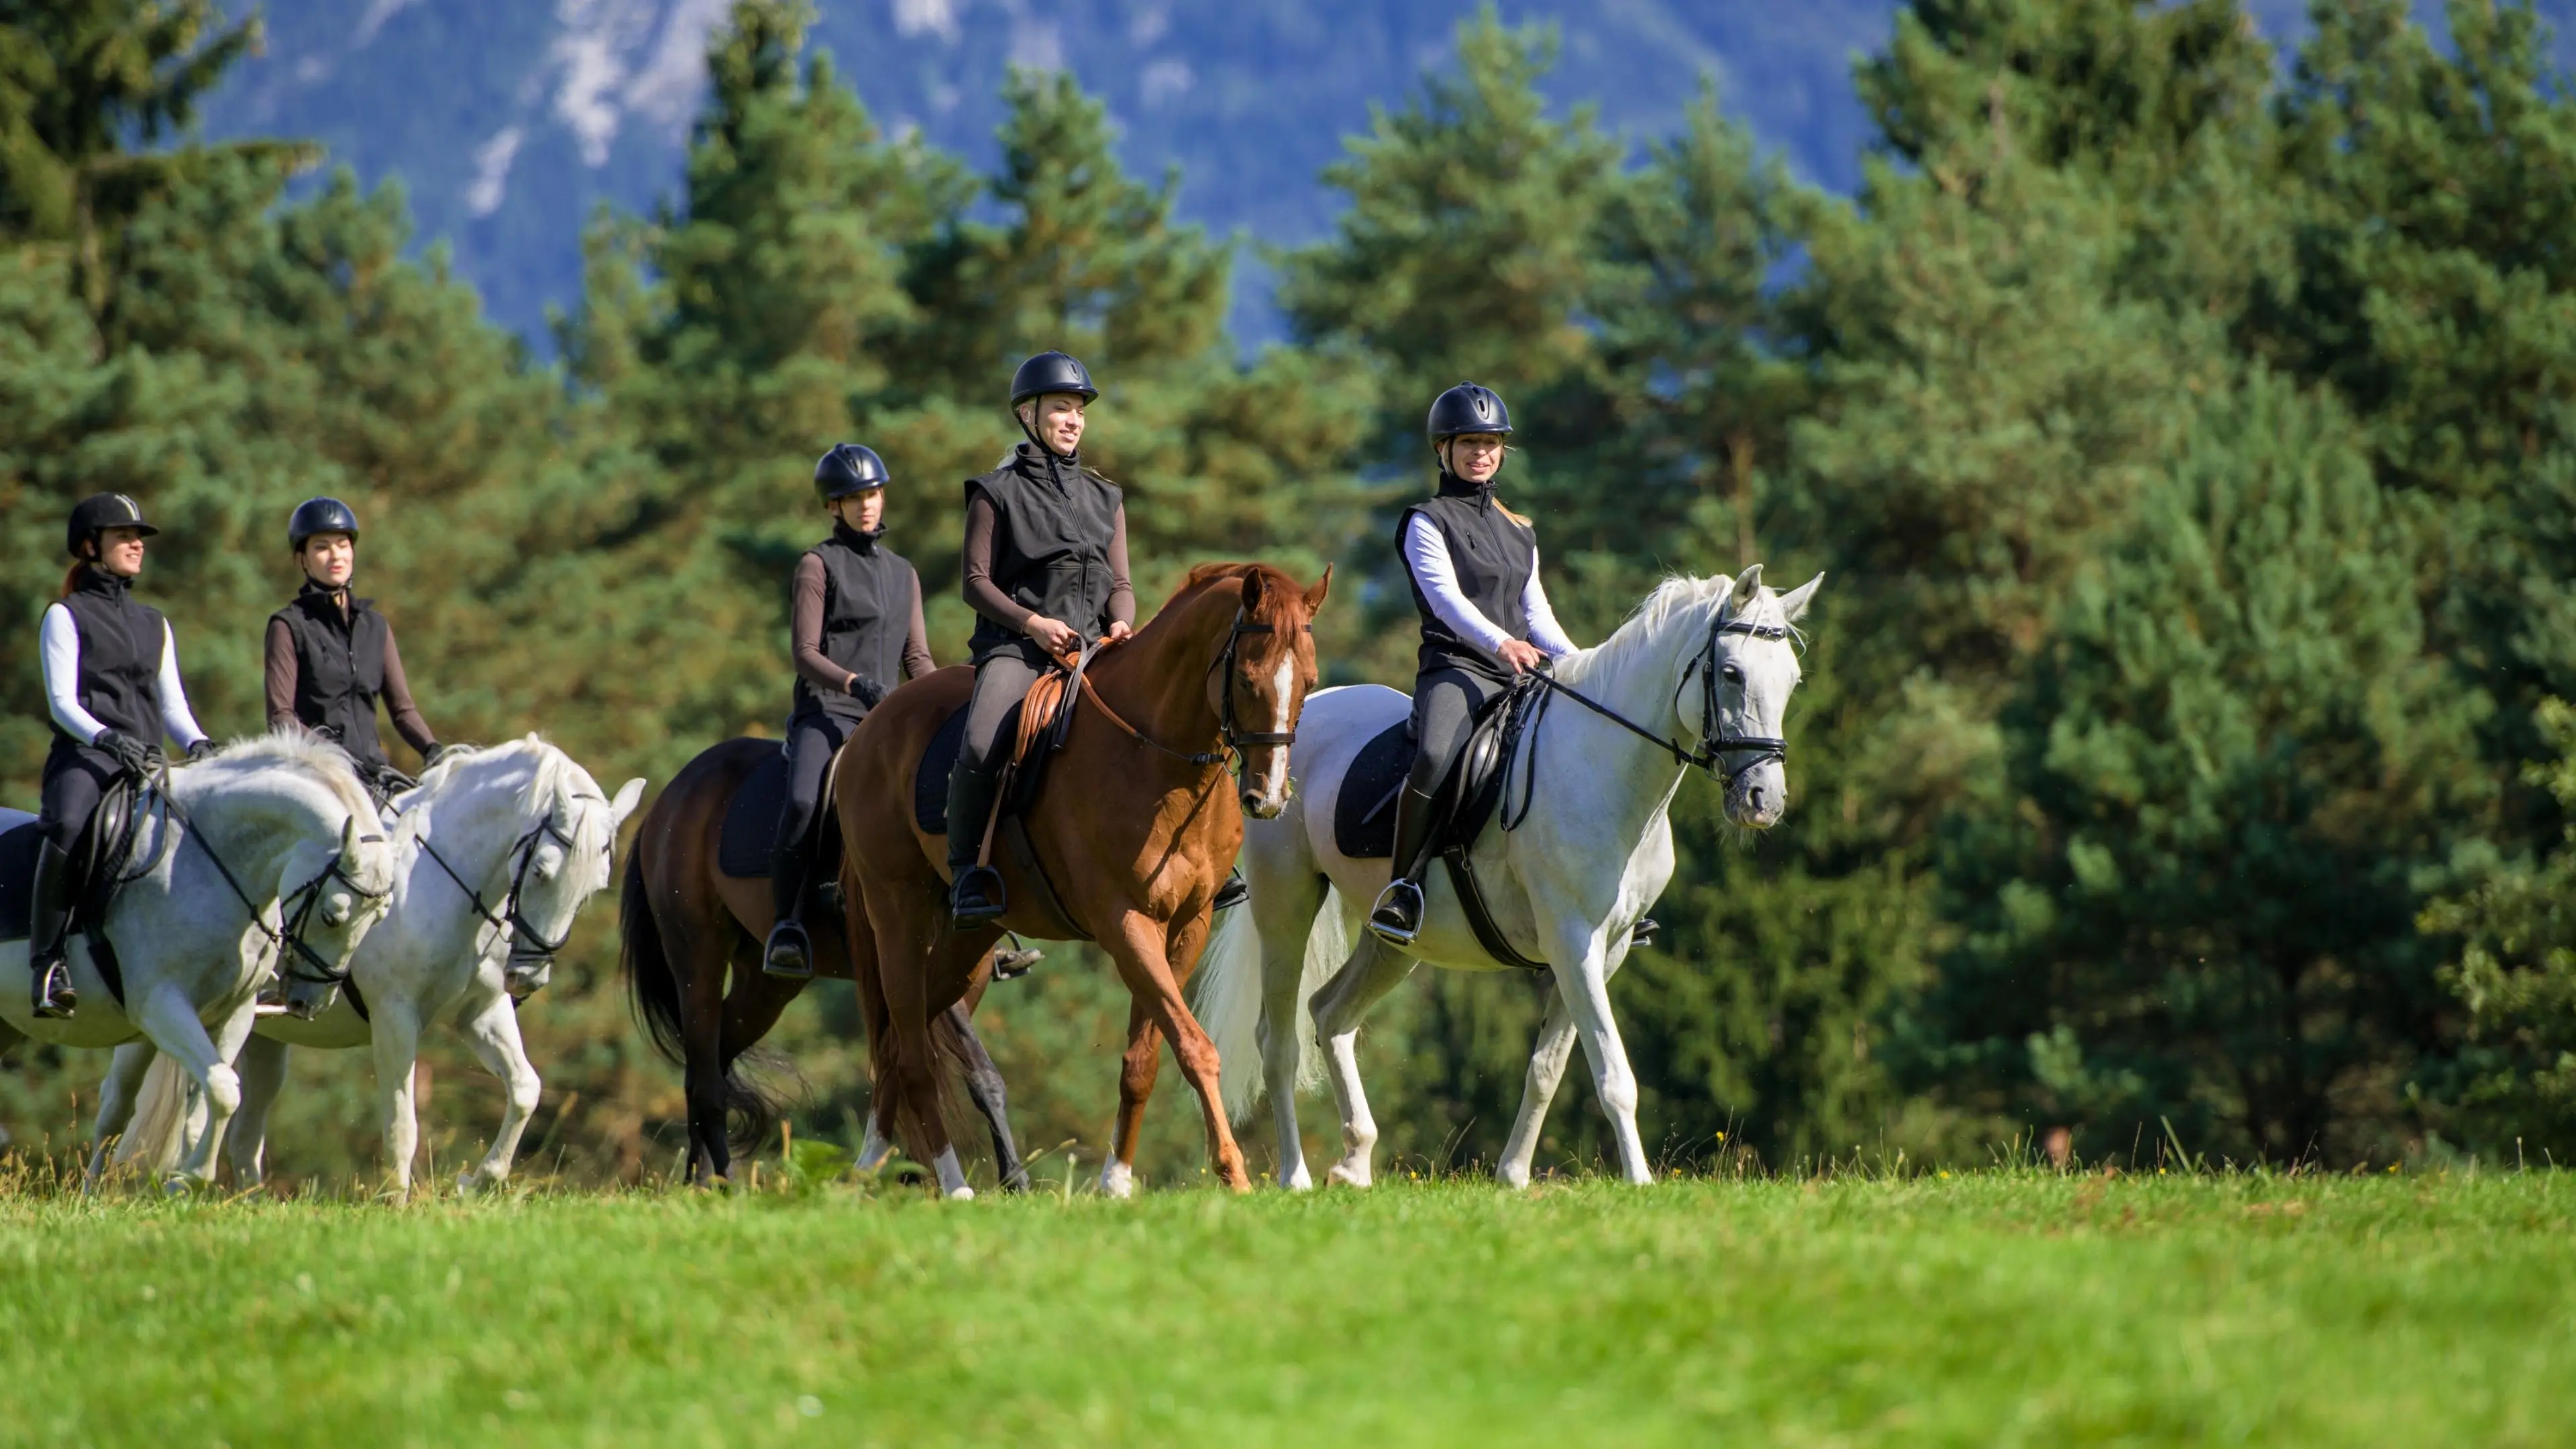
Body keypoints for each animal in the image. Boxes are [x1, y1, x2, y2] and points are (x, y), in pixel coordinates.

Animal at [0, 732, 396, 1185]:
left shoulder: (235, 1012)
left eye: (380, 917)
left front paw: (186, 1180)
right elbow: (222, 1088)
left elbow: (212, 1097)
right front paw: (193, 1176)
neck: (203, 863)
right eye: (333, 915)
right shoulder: (160, 1005)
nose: (308, 1003)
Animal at [113, 737, 644, 1191]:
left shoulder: (481, 1013)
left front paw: (478, 1181)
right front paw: (397, 1202)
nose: (528, 977)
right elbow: (402, 1122)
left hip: (259, 1036)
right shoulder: (395, 1018)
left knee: (243, 1134)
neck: (443, 880)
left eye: (595, 887)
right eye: (541, 872)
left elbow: (526, 1089)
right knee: (126, 1105)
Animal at [621, 732, 1025, 1185]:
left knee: (709, 1063)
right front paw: (1008, 1179)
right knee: (707, 1078)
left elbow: (972, 1073)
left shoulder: (965, 973)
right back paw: (723, 1182)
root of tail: (667, 800)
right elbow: (955, 1066)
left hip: (767, 988)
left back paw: (701, 1179)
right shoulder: (912, 960)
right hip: (697, 958)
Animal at [839, 564, 1329, 1196]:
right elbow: (1195, 1047)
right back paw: (952, 1184)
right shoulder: (1125, 925)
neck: (1153, 755)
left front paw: (1116, 1182)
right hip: (896, 916)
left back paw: (867, 1164)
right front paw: (1233, 1173)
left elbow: (1145, 1057)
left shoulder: (1185, 927)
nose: (1267, 798)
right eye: (1247, 679)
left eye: (1309, 682)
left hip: (969, 944)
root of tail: (868, 733)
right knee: (913, 1054)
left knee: (902, 1042)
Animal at [1195, 564, 1823, 1185]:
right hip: (1285, 908)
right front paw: (1641, 1183)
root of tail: (1293, 726)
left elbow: (1547, 1067)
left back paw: (1354, 1163)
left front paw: (1514, 1176)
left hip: (1396, 943)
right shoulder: (1573, 943)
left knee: (1330, 1014)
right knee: (1279, 1043)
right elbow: (1614, 1076)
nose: (1764, 800)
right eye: (1732, 673)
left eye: (1792, 680)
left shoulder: (1608, 949)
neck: (1602, 766)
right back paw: (1295, 1178)